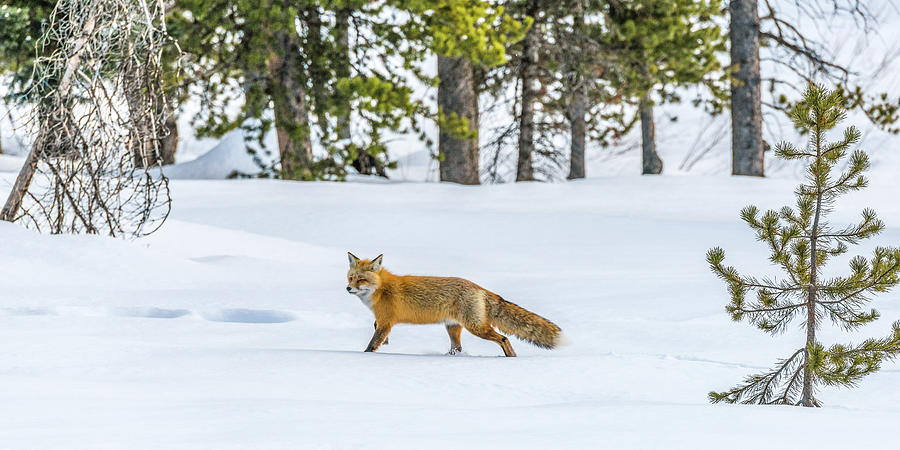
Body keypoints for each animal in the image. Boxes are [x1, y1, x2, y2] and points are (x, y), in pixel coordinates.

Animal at [344, 253, 564, 356]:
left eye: (361, 280)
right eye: (351, 277)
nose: (347, 289)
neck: (381, 289)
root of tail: (478, 286)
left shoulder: (386, 321)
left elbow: (372, 344)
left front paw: (367, 356)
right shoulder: (382, 321)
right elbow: (377, 335)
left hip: (476, 328)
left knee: (503, 338)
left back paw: (511, 357)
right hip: (453, 328)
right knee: (457, 349)